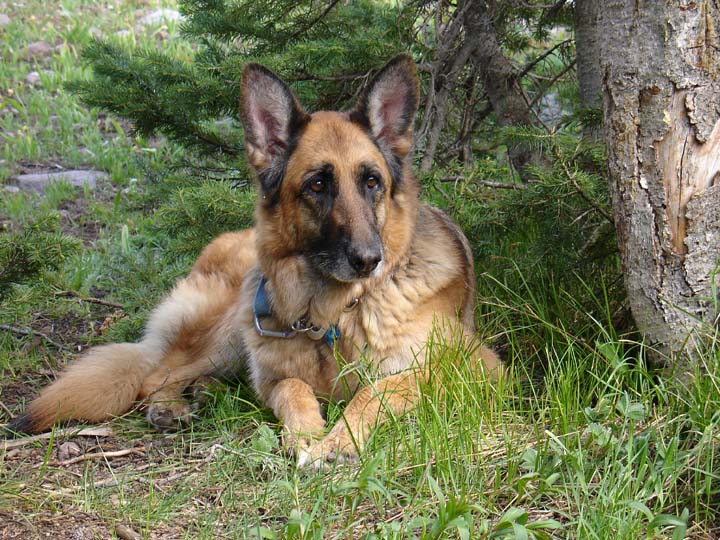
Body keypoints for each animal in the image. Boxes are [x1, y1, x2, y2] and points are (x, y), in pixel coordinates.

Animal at [8, 54, 501, 467]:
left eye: (372, 182)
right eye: (317, 185)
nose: (368, 261)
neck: (334, 317)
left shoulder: (481, 371)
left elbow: (379, 390)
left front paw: (337, 441)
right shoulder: (274, 378)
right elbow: (294, 387)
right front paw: (307, 435)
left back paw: (203, 392)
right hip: (232, 323)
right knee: (154, 376)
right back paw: (172, 405)